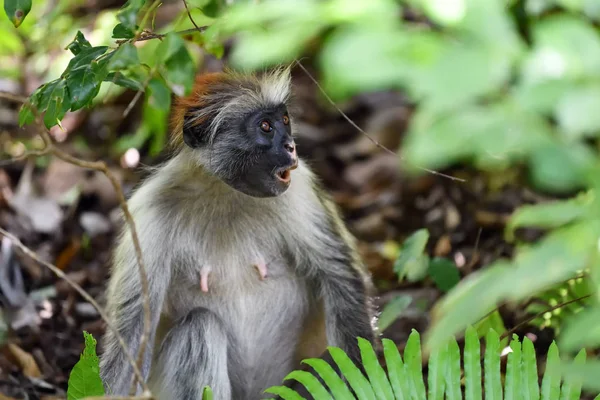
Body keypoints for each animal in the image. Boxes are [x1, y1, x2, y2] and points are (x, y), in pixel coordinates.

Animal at [98, 67, 380, 398]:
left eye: (285, 120)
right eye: (266, 127)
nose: (291, 146)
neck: (225, 193)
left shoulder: (299, 190)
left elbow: (341, 278)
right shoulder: (148, 213)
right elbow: (131, 337)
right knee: (201, 325)